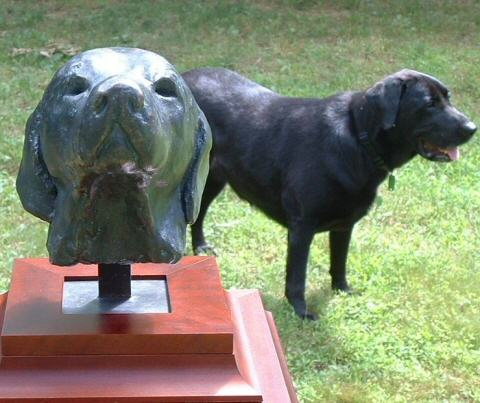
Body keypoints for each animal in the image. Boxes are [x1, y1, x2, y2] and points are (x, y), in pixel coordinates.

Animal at [182, 69, 474, 322]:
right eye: (429, 104)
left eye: (448, 98)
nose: (472, 128)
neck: (360, 139)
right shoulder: (302, 225)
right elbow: (297, 277)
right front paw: (302, 312)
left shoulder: (345, 223)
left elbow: (339, 262)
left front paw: (343, 290)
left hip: (212, 180)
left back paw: (201, 249)